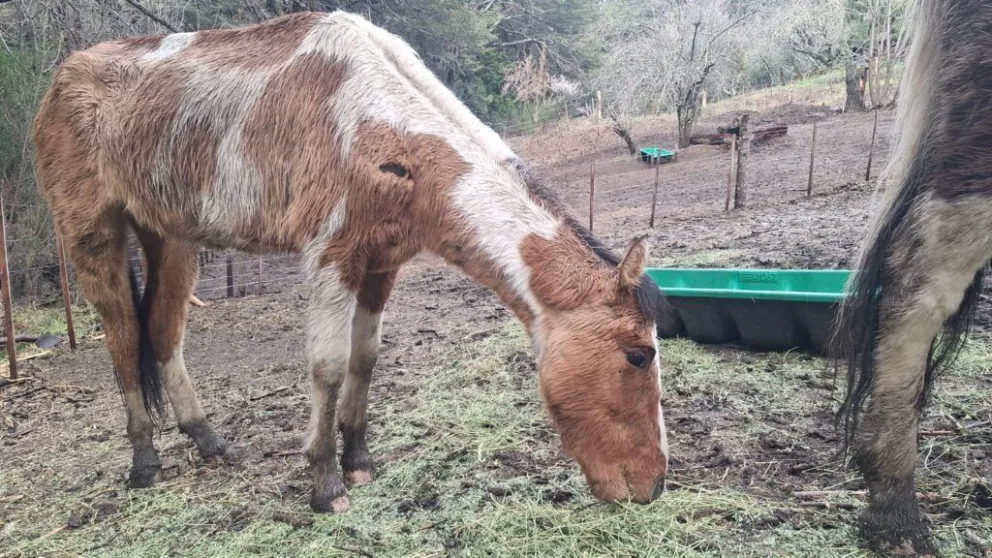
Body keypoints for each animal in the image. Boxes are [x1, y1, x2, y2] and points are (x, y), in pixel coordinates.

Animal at [31, 11, 674, 513]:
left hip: (172, 239)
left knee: (163, 334)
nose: (653, 486)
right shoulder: (330, 259)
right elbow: (328, 367)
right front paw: (325, 483)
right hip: (93, 236)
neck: (376, 125)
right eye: (638, 356)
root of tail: (62, 78)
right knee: (122, 340)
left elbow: (365, 361)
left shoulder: (381, 264)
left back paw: (210, 442)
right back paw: (145, 461)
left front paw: (359, 460)